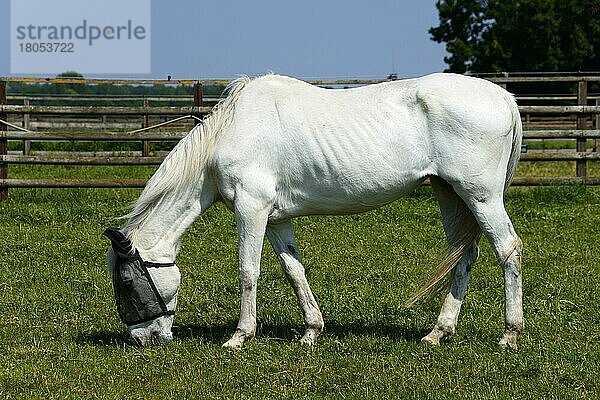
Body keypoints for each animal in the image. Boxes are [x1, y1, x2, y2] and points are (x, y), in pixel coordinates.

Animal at [105, 73, 524, 348]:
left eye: (125, 281)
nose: (142, 339)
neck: (231, 131)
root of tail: (503, 97)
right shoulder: (276, 219)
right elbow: (294, 271)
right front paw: (311, 330)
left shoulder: (251, 207)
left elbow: (248, 270)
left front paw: (239, 336)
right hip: (450, 193)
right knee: (464, 254)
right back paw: (438, 332)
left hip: (480, 196)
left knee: (508, 250)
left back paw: (510, 333)